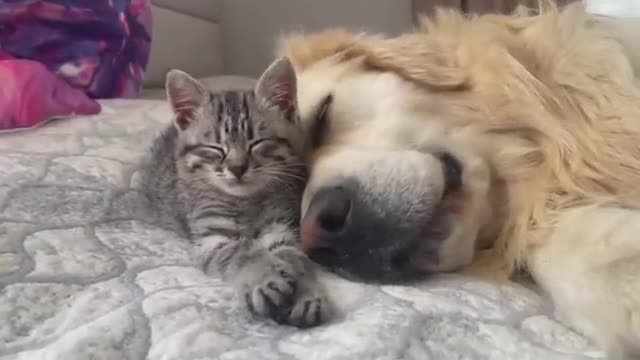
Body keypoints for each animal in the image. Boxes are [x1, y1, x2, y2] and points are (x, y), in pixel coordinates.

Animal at [141, 58, 330, 326]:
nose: (237, 167)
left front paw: (305, 290)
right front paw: (265, 277)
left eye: (257, 143)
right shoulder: (212, 237)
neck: (246, 202)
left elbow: (293, 257)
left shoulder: (282, 226)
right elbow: (242, 251)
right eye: (215, 148)